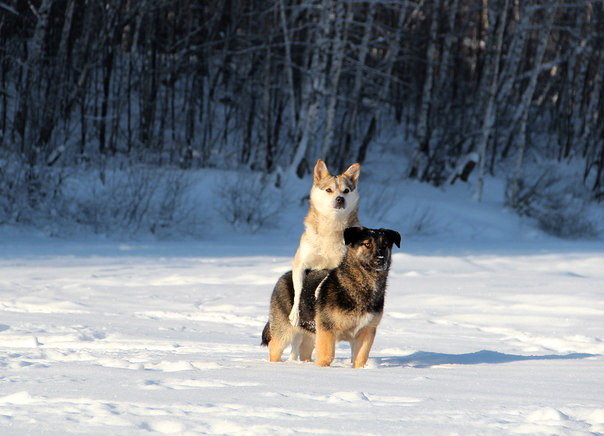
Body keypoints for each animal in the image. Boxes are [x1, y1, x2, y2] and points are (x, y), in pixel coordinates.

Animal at [260, 228, 398, 368]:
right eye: (367, 244)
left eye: (385, 245)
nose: (381, 260)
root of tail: (284, 276)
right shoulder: (327, 329)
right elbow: (327, 355)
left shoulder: (366, 331)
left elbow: (360, 358)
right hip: (285, 331)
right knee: (274, 347)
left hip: (309, 333)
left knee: (304, 351)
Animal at [290, 158, 360, 328]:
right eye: (329, 190)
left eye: (346, 191)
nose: (340, 199)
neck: (331, 226)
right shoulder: (300, 263)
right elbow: (299, 289)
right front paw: (295, 315)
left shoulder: (341, 263)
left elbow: (328, 274)